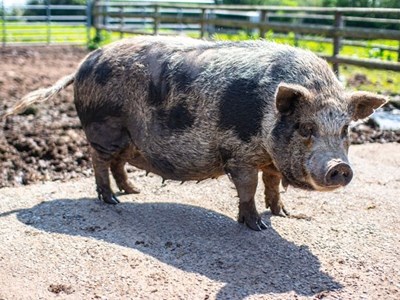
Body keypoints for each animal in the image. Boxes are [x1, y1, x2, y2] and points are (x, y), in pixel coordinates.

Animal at [7, 36, 388, 231]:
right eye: (307, 128)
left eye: (345, 129)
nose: (339, 167)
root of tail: (83, 64)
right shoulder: (239, 154)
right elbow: (248, 188)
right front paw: (258, 227)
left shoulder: (269, 160)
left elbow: (273, 184)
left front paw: (284, 214)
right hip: (104, 128)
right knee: (98, 161)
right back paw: (111, 200)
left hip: (128, 137)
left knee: (118, 163)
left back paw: (133, 191)